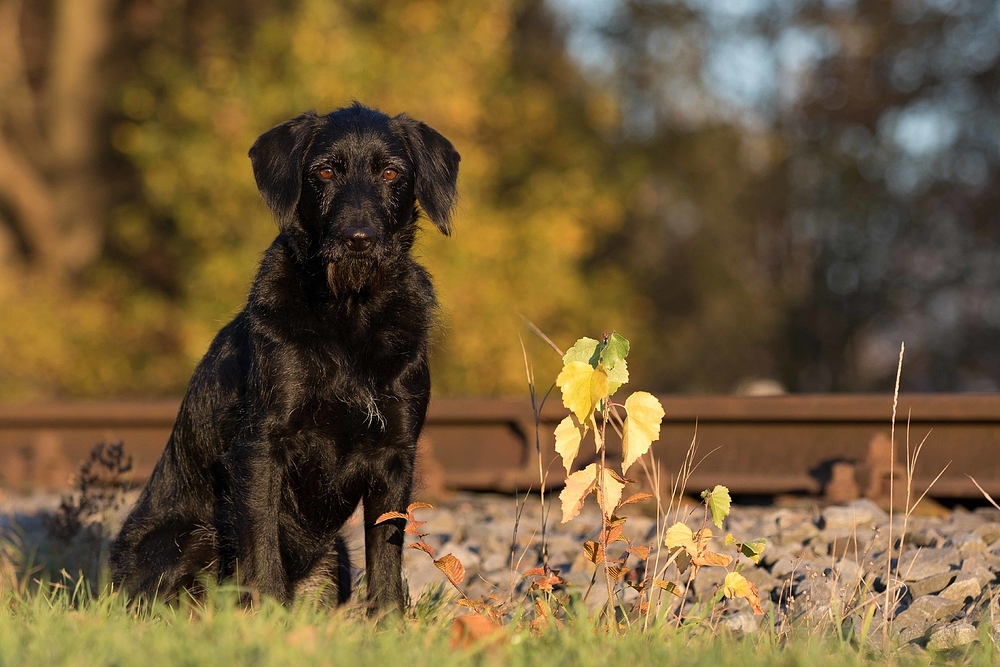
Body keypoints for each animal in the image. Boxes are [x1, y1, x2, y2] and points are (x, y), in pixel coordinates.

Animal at [111, 102, 462, 612]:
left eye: (392, 172)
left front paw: (391, 623)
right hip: (188, 537)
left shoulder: (394, 454)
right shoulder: (261, 447)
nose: (358, 238)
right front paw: (269, 620)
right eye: (325, 171)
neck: (349, 314)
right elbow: (262, 552)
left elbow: (386, 557)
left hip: (333, 557)